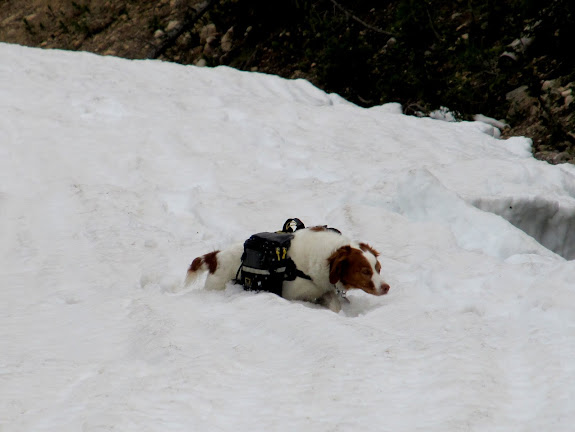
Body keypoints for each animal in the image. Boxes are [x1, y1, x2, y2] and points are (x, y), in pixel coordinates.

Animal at [186, 224, 392, 312]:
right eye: (365, 271)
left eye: (378, 268)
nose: (386, 287)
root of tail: (216, 257)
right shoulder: (292, 295)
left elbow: (334, 303)